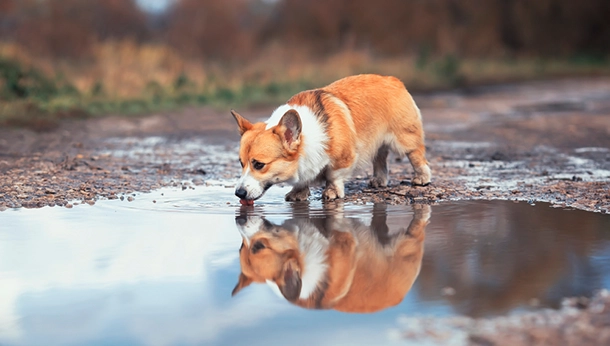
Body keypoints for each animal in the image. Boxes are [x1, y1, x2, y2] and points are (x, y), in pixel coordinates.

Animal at [230, 72, 430, 203]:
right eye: (241, 163)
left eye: (259, 164)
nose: (239, 194)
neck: (307, 136)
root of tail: (393, 79)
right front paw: (298, 193)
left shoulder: (343, 159)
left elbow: (334, 176)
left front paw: (332, 191)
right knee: (380, 157)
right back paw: (379, 180)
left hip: (404, 139)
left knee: (417, 156)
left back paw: (422, 178)